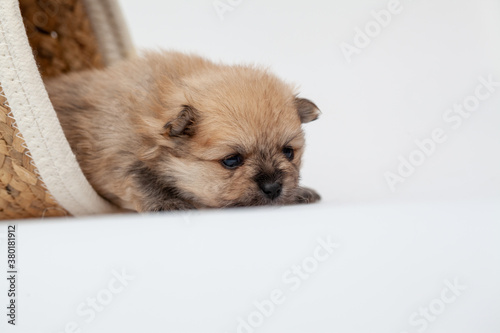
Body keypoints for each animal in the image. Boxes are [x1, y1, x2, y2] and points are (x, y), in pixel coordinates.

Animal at [46, 50, 320, 210]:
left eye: (289, 152)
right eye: (231, 160)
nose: (273, 188)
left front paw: (299, 193)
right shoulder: (118, 157)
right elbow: (140, 179)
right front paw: (168, 202)